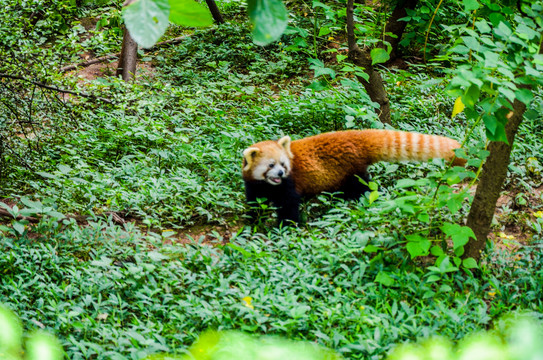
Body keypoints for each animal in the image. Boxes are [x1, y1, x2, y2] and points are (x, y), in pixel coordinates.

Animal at [243, 129, 468, 225]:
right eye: (271, 165)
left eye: (283, 164)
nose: (281, 173)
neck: (270, 186)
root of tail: (354, 135)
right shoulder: (254, 185)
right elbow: (254, 202)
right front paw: (252, 220)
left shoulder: (290, 184)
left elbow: (289, 206)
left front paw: (285, 226)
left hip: (352, 171)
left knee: (365, 186)